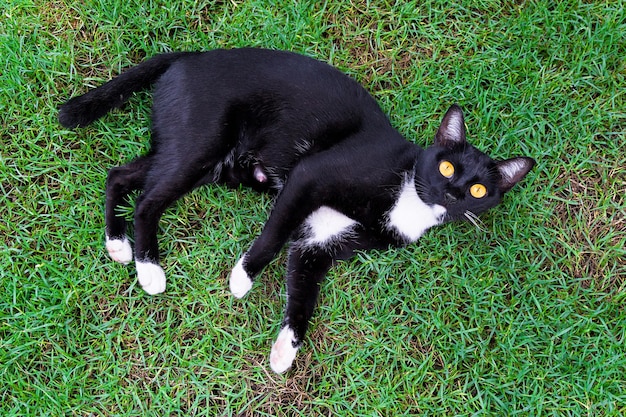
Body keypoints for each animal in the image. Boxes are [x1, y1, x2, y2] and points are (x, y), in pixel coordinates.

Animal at [58, 47, 532, 372]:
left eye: (478, 190)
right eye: (447, 165)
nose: (452, 192)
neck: (409, 196)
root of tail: (189, 55)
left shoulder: (320, 244)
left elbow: (303, 294)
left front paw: (286, 349)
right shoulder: (310, 176)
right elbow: (273, 237)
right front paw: (241, 279)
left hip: (203, 159)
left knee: (120, 175)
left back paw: (118, 244)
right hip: (201, 143)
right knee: (148, 200)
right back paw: (149, 268)